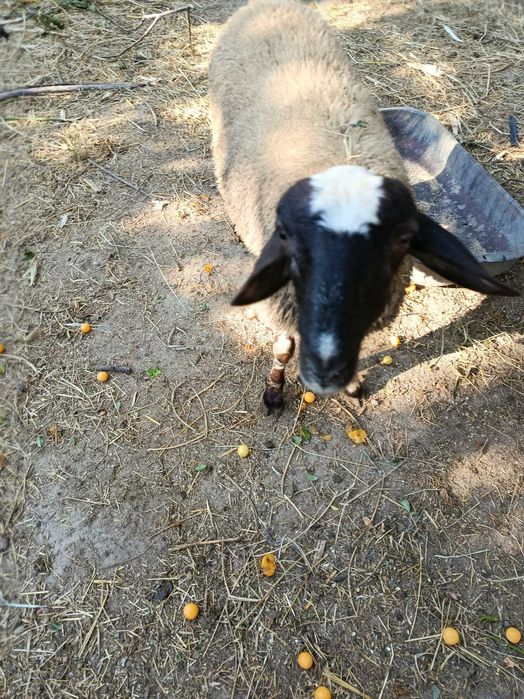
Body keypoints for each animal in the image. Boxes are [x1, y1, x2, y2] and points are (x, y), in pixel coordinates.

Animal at [208, 0, 518, 415]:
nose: (327, 369)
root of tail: (269, 5)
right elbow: (284, 348)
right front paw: (274, 389)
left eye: (401, 240)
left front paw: (353, 384)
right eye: (290, 238)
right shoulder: (282, 304)